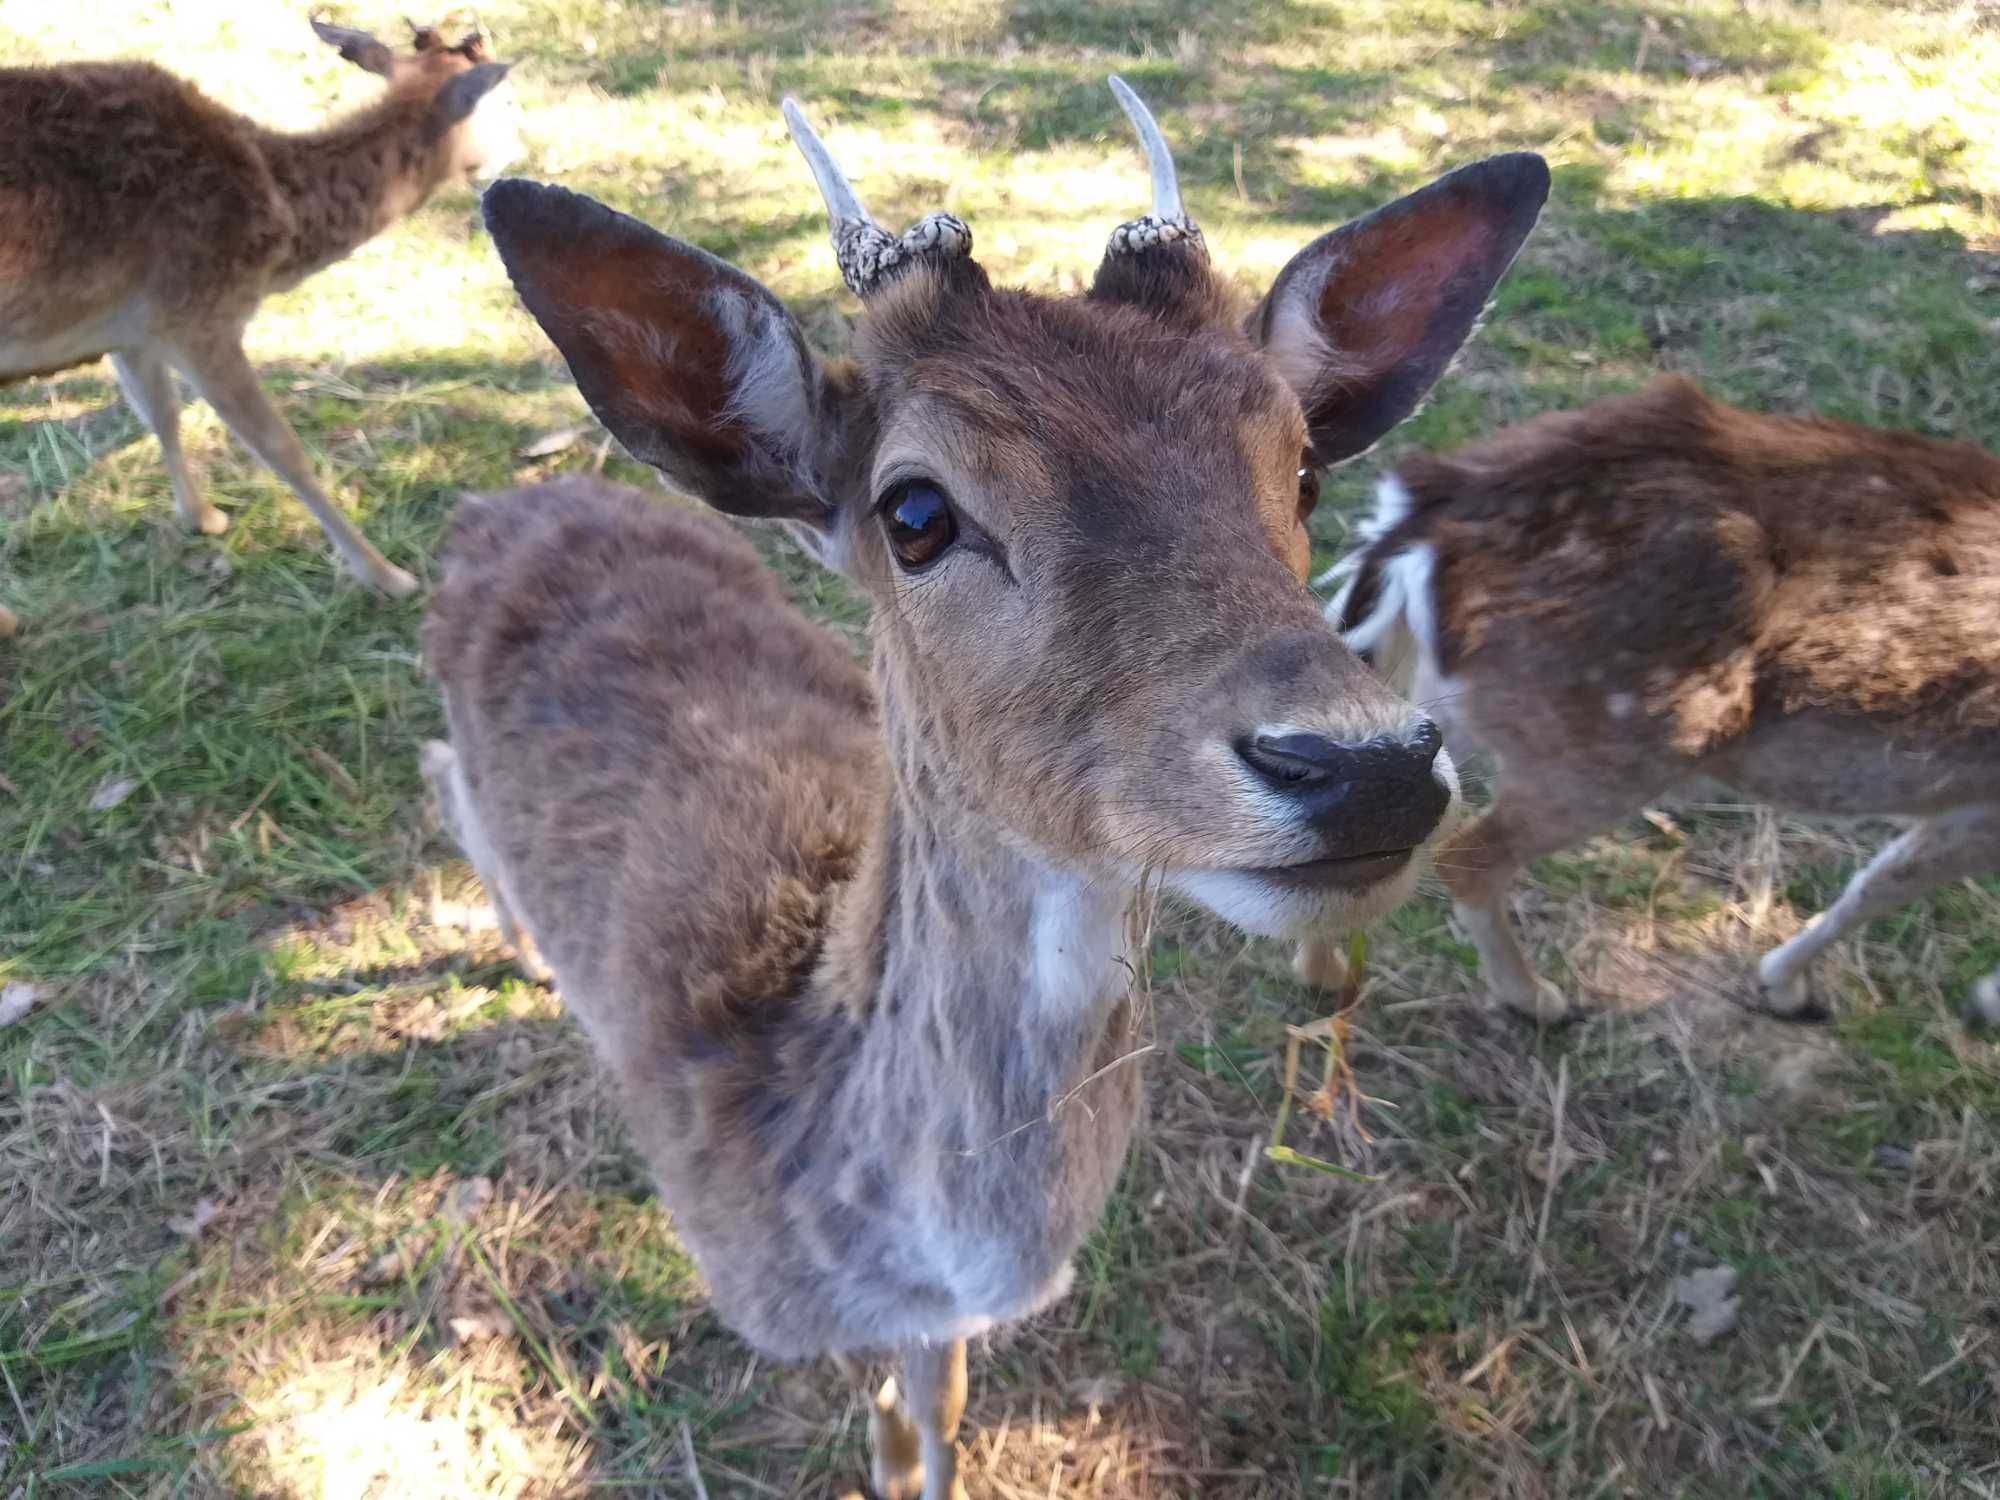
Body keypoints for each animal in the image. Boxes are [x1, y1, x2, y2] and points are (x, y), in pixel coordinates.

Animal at [0, 17, 524, 604]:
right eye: (507, 100)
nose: (517, 151)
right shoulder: (200, 313)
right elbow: (281, 448)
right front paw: (390, 576)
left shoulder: (130, 328)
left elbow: (160, 412)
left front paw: (202, 517)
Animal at [1312, 378, 2000, 1032]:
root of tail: (1419, 517)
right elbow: (1888, 884)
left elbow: (1880, 877)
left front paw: (1784, 984)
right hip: (1608, 748)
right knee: (1467, 856)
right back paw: (1540, 1001)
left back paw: (1323, 975)